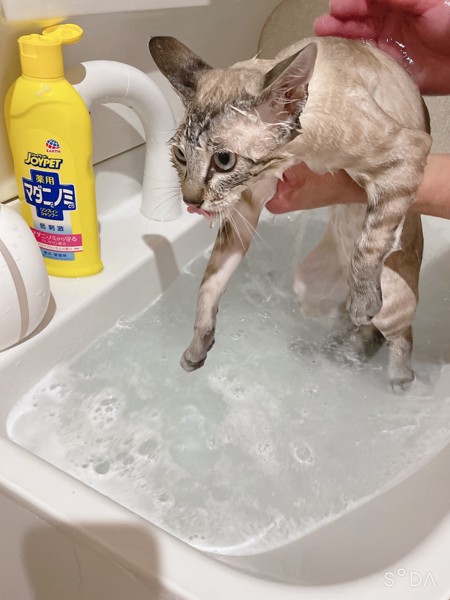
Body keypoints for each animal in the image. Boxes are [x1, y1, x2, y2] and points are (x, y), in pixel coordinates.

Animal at [149, 34, 430, 390]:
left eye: (224, 160)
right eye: (181, 156)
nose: (191, 202)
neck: (298, 154)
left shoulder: (407, 152)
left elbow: (369, 242)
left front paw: (364, 299)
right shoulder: (247, 203)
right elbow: (210, 282)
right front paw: (197, 347)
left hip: (392, 301)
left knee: (397, 333)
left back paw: (399, 378)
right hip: (308, 290)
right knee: (350, 324)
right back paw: (335, 348)